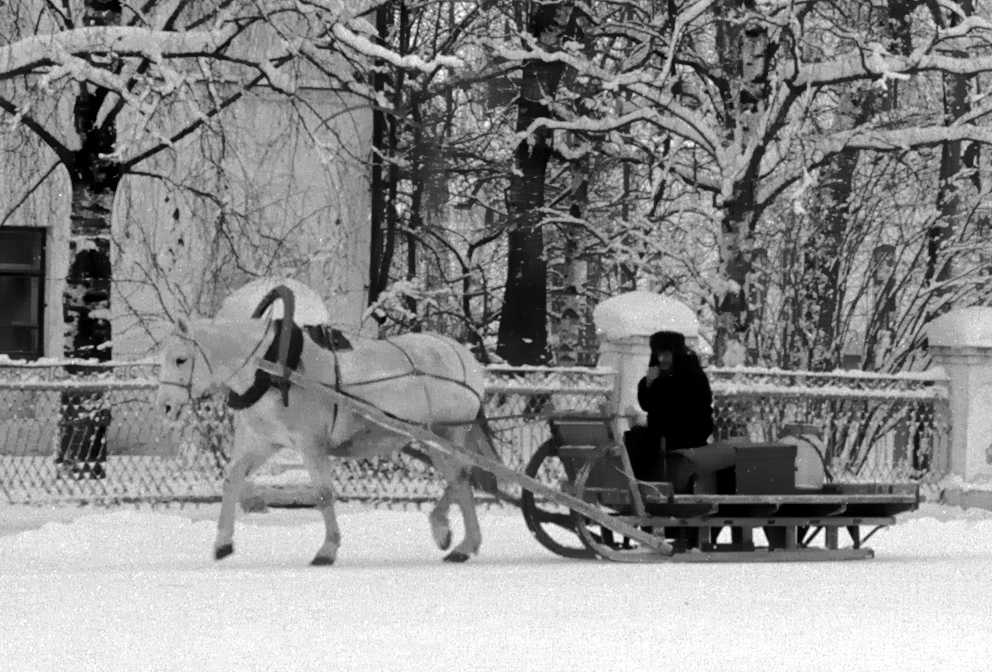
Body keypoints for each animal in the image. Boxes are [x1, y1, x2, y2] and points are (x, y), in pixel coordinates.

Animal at [155, 293, 499, 565]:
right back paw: (451, 534)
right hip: (431, 437)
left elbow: (322, 493)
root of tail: (465, 358)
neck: (273, 368)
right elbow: (232, 479)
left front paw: (327, 549)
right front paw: (222, 543)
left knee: (460, 478)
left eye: (181, 359)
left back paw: (461, 540)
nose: (165, 406)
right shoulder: (265, 442)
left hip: (448, 432)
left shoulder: (311, 443)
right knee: (460, 479)